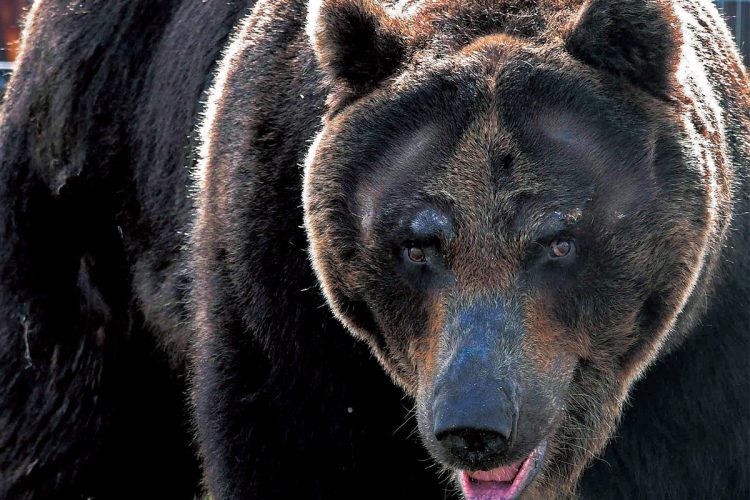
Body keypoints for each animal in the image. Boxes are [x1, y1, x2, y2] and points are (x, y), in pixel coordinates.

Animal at [1, 0, 748, 499]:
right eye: (416, 245)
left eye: (558, 239)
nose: (476, 426)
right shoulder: (290, 311)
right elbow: (292, 450)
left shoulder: (701, 348)